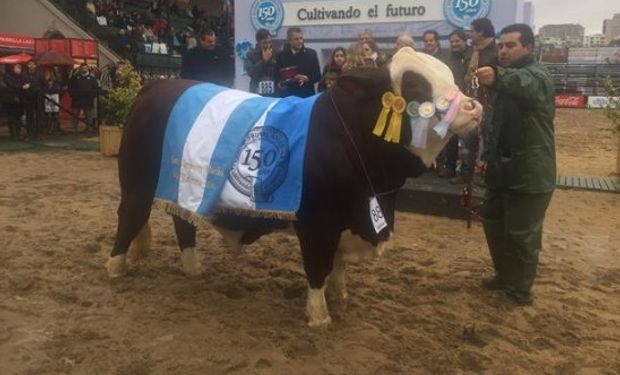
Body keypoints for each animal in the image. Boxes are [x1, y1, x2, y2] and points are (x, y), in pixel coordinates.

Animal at [108, 48, 484, 328]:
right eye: (416, 89)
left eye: (451, 77)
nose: (472, 106)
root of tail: (157, 87)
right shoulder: (317, 221)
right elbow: (318, 266)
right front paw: (319, 317)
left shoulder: (346, 221)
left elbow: (338, 266)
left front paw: (341, 299)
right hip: (136, 184)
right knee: (129, 217)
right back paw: (116, 268)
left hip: (183, 189)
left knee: (183, 223)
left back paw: (193, 270)